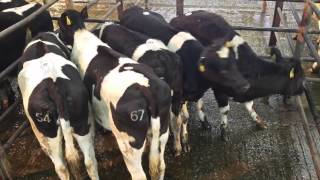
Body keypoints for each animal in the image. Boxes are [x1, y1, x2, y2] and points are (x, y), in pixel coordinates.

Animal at [58, 9, 171, 180]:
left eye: (61, 27)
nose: (57, 34)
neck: (81, 34)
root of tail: (147, 90)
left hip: (129, 144)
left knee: (139, 174)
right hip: (163, 131)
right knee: (161, 165)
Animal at [119, 5, 251, 155]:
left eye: (234, 64)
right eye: (222, 70)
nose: (245, 85)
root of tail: (133, 7)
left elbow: (199, 107)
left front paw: (205, 124)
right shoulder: (179, 96)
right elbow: (181, 119)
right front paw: (182, 143)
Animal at [170, 10, 304, 141]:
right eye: (301, 79)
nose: (304, 89)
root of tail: (179, 17)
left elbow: (250, 106)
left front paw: (259, 122)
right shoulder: (219, 89)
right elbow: (225, 110)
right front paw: (224, 132)